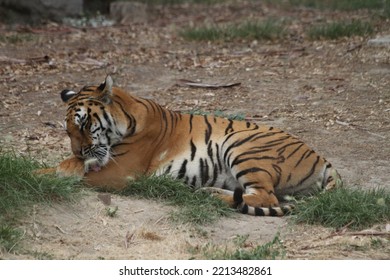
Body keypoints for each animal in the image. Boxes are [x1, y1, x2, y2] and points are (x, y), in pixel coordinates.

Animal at [41, 75, 342, 217]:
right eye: (68, 130)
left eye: (82, 125)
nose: (78, 150)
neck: (127, 117)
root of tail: (323, 158)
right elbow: (64, 166)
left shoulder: (118, 172)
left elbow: (71, 175)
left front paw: (44, 177)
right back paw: (208, 193)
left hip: (240, 144)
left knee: (266, 197)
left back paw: (210, 196)